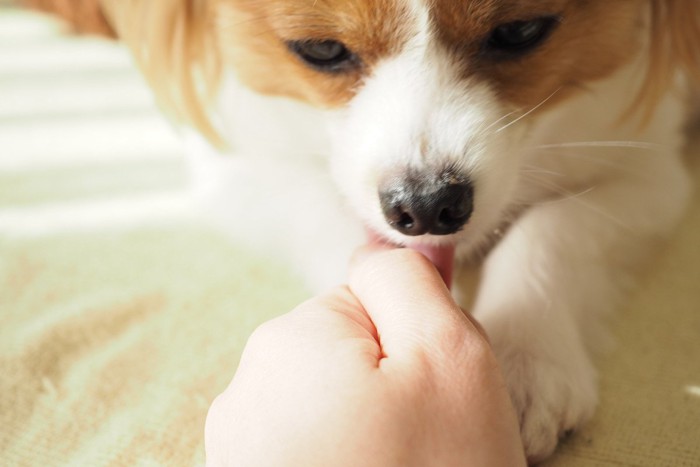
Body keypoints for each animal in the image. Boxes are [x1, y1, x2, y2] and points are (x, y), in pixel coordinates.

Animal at [26, 0, 700, 460]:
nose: (427, 207)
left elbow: (554, 227)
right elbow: (330, 219)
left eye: (520, 32)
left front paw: (524, 360)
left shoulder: (649, 171)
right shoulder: (239, 167)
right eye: (321, 50)